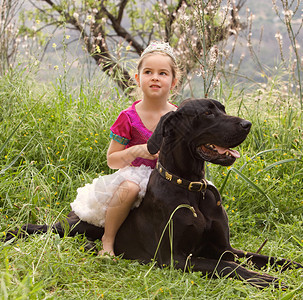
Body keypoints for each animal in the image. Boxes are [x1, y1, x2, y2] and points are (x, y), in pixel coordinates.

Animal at [3, 98, 302, 288]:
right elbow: (226, 267)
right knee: (46, 228)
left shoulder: (225, 248)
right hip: (76, 226)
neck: (192, 188)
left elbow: (268, 258)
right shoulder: (174, 259)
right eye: (207, 114)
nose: (247, 124)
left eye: (223, 109)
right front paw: (264, 280)